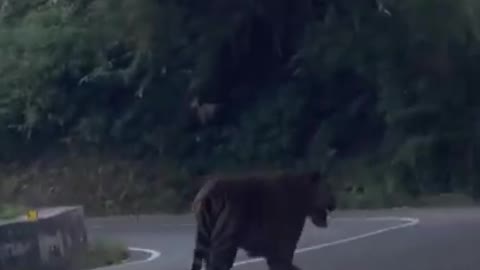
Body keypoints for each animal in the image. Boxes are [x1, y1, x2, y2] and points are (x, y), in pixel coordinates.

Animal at [189, 170, 336, 270]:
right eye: (328, 188)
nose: (334, 204)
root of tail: (208, 191)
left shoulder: (275, 254)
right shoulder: (283, 250)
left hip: (209, 244)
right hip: (225, 246)